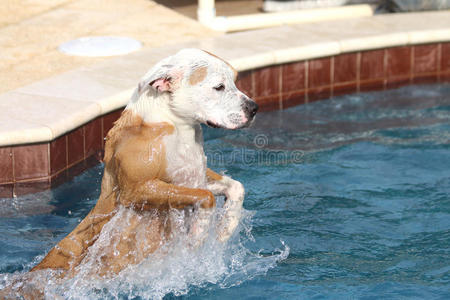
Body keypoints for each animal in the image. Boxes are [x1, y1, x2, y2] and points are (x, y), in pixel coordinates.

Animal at [27, 48, 260, 282]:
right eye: (218, 87)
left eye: (235, 80)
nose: (254, 108)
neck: (171, 123)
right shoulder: (138, 189)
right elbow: (206, 197)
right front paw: (199, 233)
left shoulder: (192, 176)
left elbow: (235, 186)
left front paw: (227, 226)